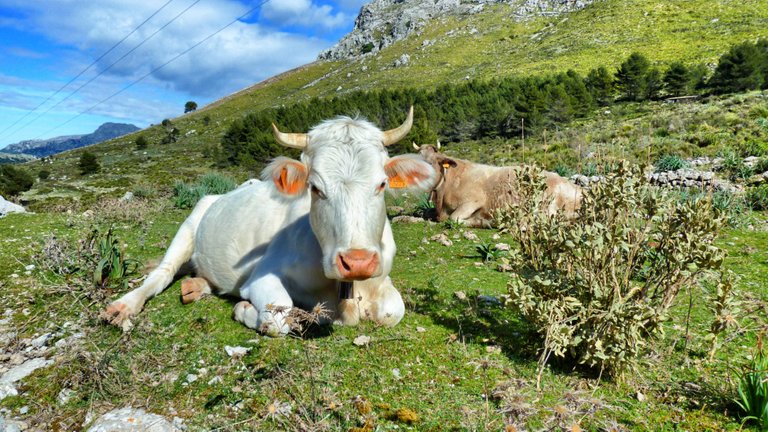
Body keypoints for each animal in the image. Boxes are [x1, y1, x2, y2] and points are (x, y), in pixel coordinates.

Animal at [103, 109, 436, 338]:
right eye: (315, 188)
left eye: (381, 184)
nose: (357, 262)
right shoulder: (261, 277)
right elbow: (279, 318)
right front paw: (245, 308)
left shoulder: (382, 278)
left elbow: (393, 311)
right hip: (189, 224)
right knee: (162, 273)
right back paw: (124, 306)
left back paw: (195, 286)